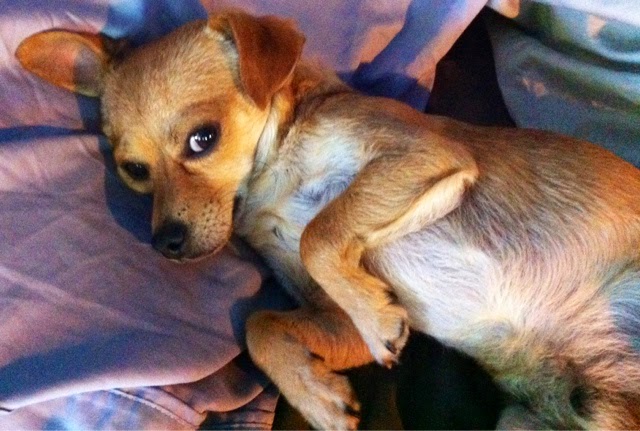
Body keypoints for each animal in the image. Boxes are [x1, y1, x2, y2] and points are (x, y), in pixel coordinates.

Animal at [17, 10, 640, 429]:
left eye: (203, 139)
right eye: (134, 170)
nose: (164, 241)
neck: (268, 186)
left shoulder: (424, 157)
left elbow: (320, 232)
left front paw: (369, 321)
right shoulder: (332, 317)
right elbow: (262, 325)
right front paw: (317, 397)